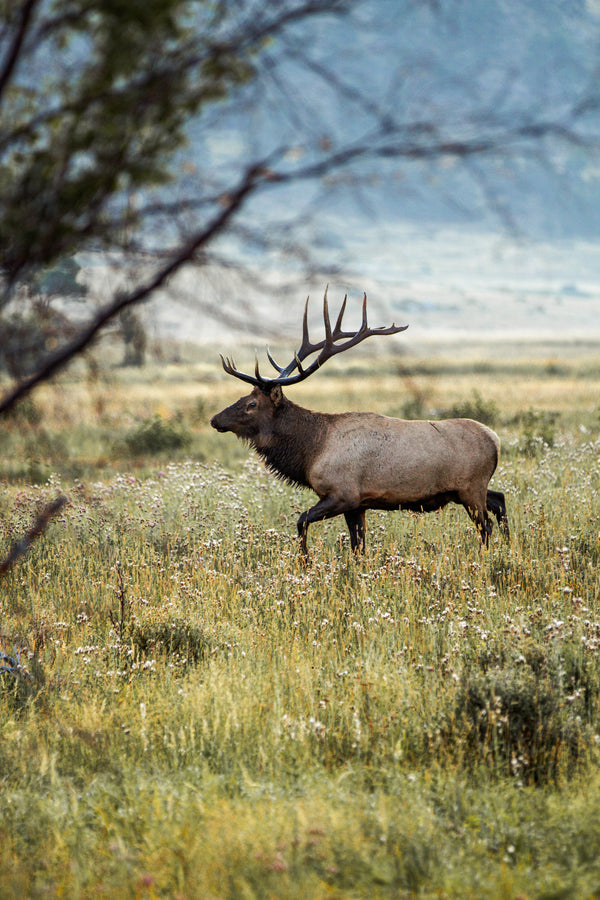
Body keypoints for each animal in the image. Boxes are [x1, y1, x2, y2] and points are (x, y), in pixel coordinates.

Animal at [211, 290, 509, 557]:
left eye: (252, 404)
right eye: (244, 396)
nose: (215, 419)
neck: (311, 452)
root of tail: (495, 440)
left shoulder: (343, 494)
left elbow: (301, 521)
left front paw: (305, 561)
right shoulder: (358, 504)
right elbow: (358, 547)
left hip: (470, 488)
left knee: (486, 525)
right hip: (470, 489)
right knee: (500, 499)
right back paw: (509, 548)